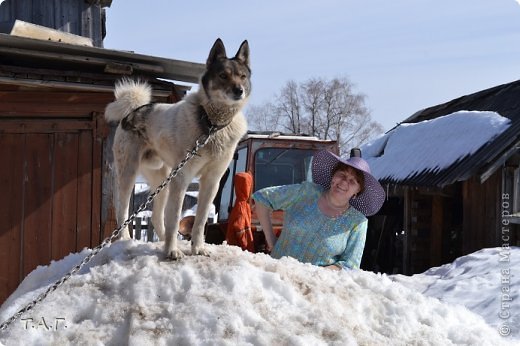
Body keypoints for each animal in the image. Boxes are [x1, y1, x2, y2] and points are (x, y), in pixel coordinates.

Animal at [103, 38, 250, 260]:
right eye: (223, 75)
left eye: (242, 76)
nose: (239, 90)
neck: (210, 125)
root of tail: (132, 112)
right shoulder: (182, 178)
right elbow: (174, 219)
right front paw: (172, 251)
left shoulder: (211, 181)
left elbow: (200, 222)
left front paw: (198, 249)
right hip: (129, 173)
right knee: (123, 210)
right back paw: (127, 239)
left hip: (162, 180)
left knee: (156, 217)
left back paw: (163, 241)